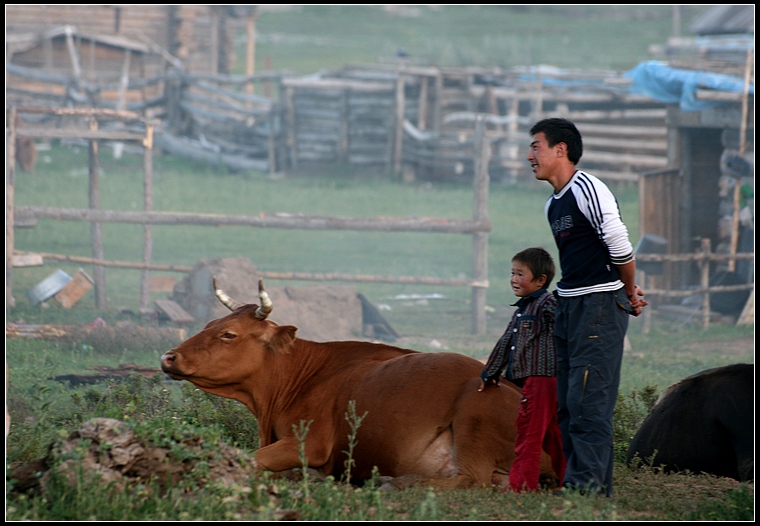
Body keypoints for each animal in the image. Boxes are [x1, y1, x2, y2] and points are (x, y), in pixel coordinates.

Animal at [162, 280, 560, 490]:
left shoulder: (309, 443)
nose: (169, 357)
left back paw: (394, 481)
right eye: (209, 324)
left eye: (229, 334)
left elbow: (250, 459)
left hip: (473, 415)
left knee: (472, 478)